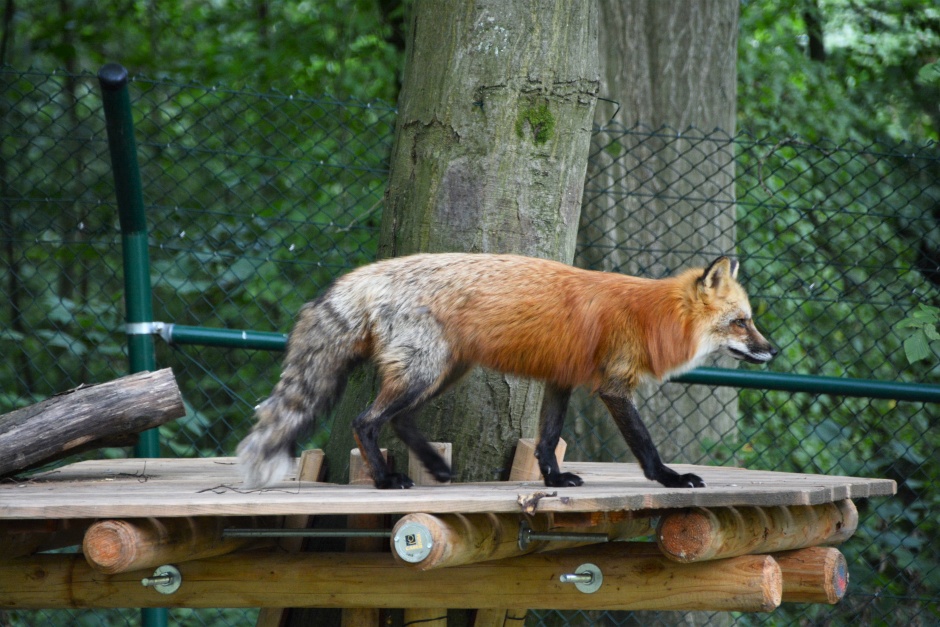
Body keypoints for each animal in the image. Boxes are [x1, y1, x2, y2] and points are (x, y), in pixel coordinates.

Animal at [237, 253, 776, 490]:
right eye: (742, 322)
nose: (773, 350)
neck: (650, 317)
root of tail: (365, 273)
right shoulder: (614, 387)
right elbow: (645, 444)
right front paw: (668, 479)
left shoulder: (563, 380)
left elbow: (546, 440)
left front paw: (554, 480)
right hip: (425, 372)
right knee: (366, 421)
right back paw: (388, 481)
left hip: (443, 374)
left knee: (400, 420)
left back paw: (434, 467)